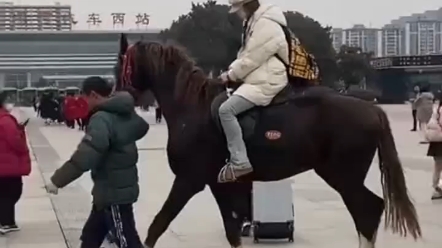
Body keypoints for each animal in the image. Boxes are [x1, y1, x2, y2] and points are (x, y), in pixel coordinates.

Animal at [115, 35, 422, 248]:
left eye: (120, 65)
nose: (119, 95)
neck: (191, 109)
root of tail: (372, 109)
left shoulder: (189, 180)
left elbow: (158, 224)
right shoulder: (218, 183)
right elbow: (232, 232)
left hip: (343, 175)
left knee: (367, 211)